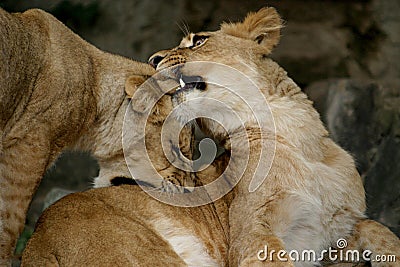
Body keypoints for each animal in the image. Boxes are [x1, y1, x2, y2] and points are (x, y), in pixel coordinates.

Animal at [150, 7, 400, 266]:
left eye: (199, 41)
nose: (153, 60)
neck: (296, 139)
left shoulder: (334, 233)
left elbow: (376, 227)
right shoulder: (250, 235)